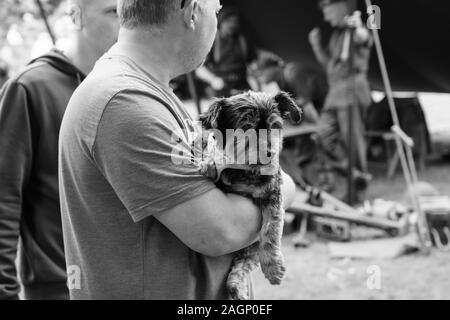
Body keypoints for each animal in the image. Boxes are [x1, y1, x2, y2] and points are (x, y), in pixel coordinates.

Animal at [198, 90, 300, 300]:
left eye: (275, 126)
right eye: (246, 127)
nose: (269, 152)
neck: (246, 170)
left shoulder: (273, 195)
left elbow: (270, 230)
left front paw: (272, 267)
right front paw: (211, 162)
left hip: (250, 251)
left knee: (241, 265)